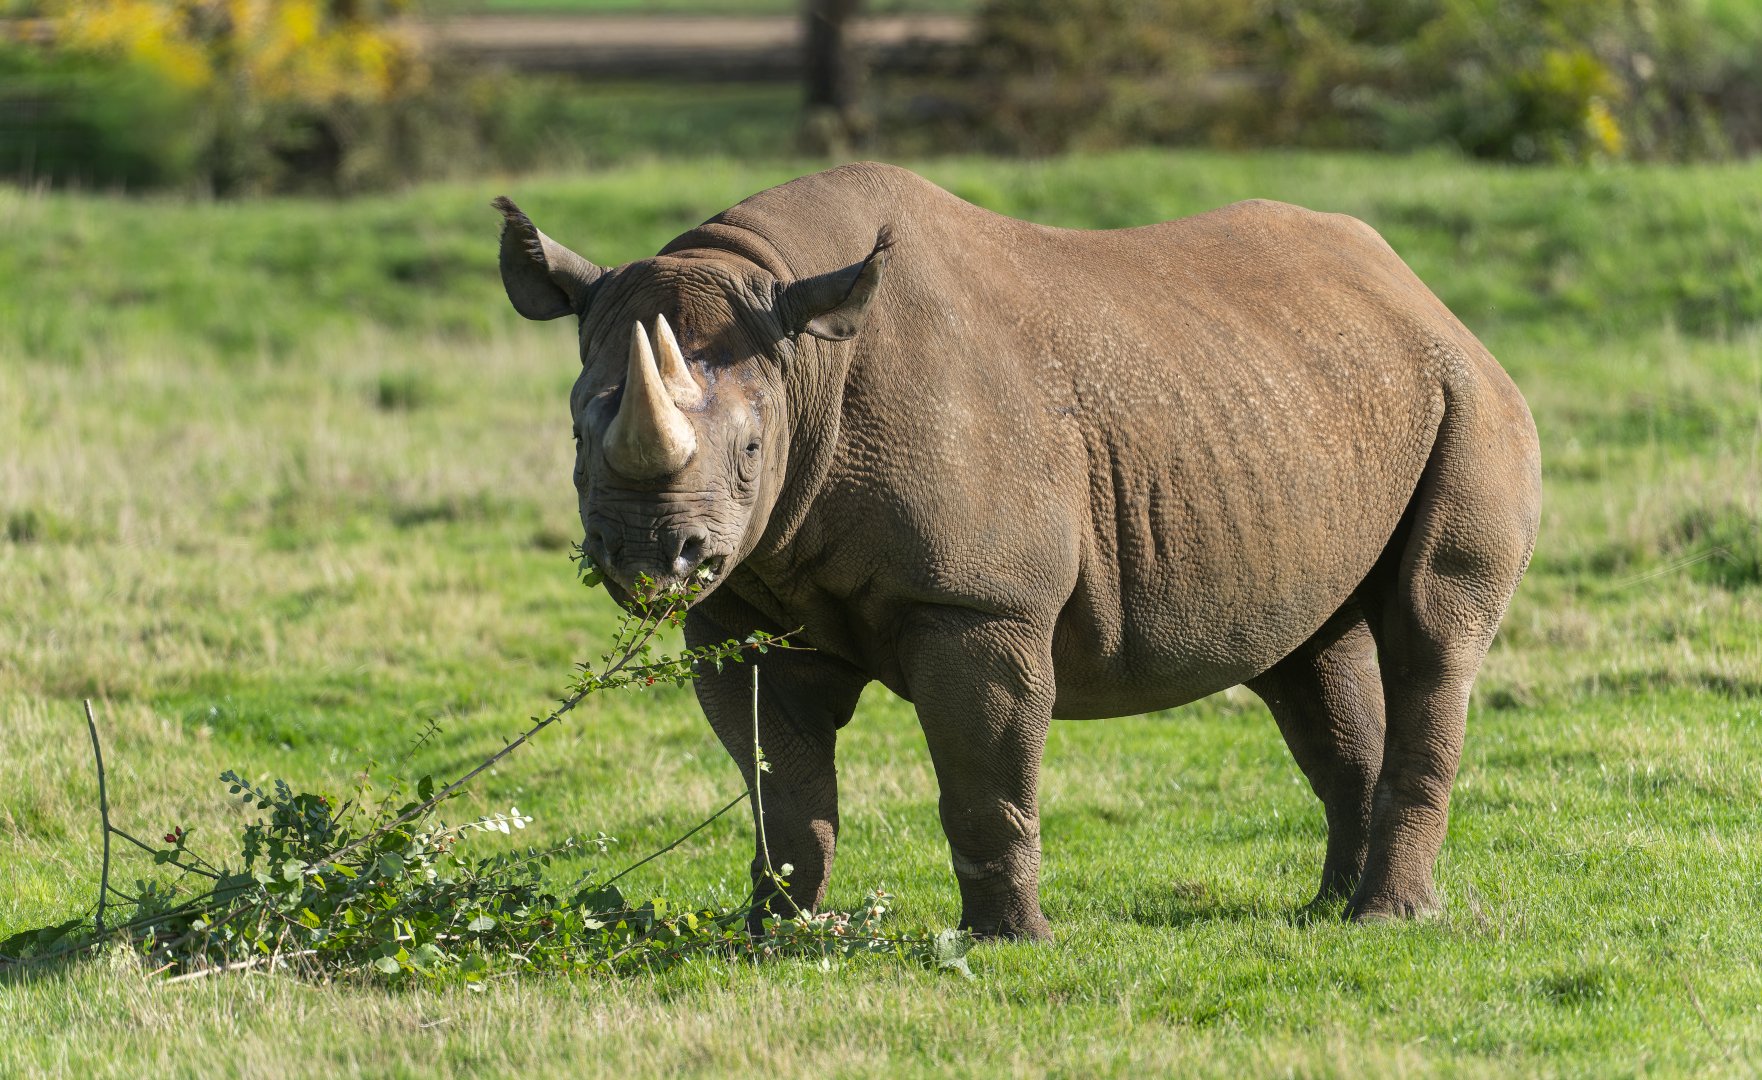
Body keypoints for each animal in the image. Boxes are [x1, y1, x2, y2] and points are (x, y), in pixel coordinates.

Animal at [493, 162, 1540, 939]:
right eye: (578, 436)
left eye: (753, 451)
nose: (649, 558)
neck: (806, 359)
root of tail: (1424, 295)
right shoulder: (737, 608)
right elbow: (782, 786)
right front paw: (775, 934)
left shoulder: (978, 599)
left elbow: (983, 777)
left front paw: (1008, 941)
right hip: (1307, 405)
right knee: (1306, 655)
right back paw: (1324, 913)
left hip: (1471, 399)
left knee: (1430, 635)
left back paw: (1386, 920)